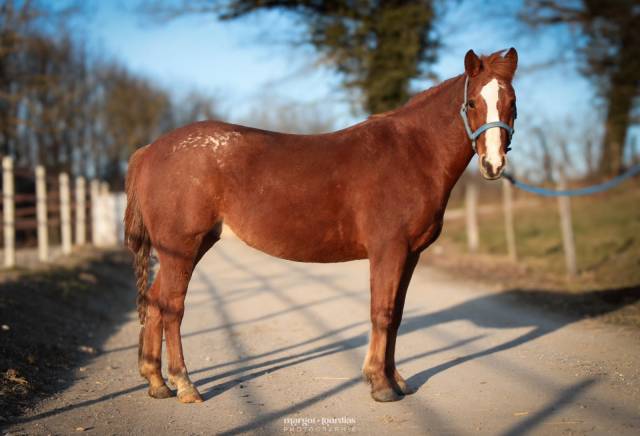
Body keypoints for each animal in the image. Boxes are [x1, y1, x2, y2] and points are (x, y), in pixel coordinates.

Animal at [124, 48, 518, 403]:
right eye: (472, 103)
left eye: (512, 102)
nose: (493, 165)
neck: (412, 152)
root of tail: (150, 150)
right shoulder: (388, 250)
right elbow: (382, 313)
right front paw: (380, 385)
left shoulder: (410, 255)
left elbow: (397, 315)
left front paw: (396, 380)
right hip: (181, 249)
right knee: (172, 307)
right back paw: (185, 385)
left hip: (191, 247)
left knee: (156, 302)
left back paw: (157, 382)